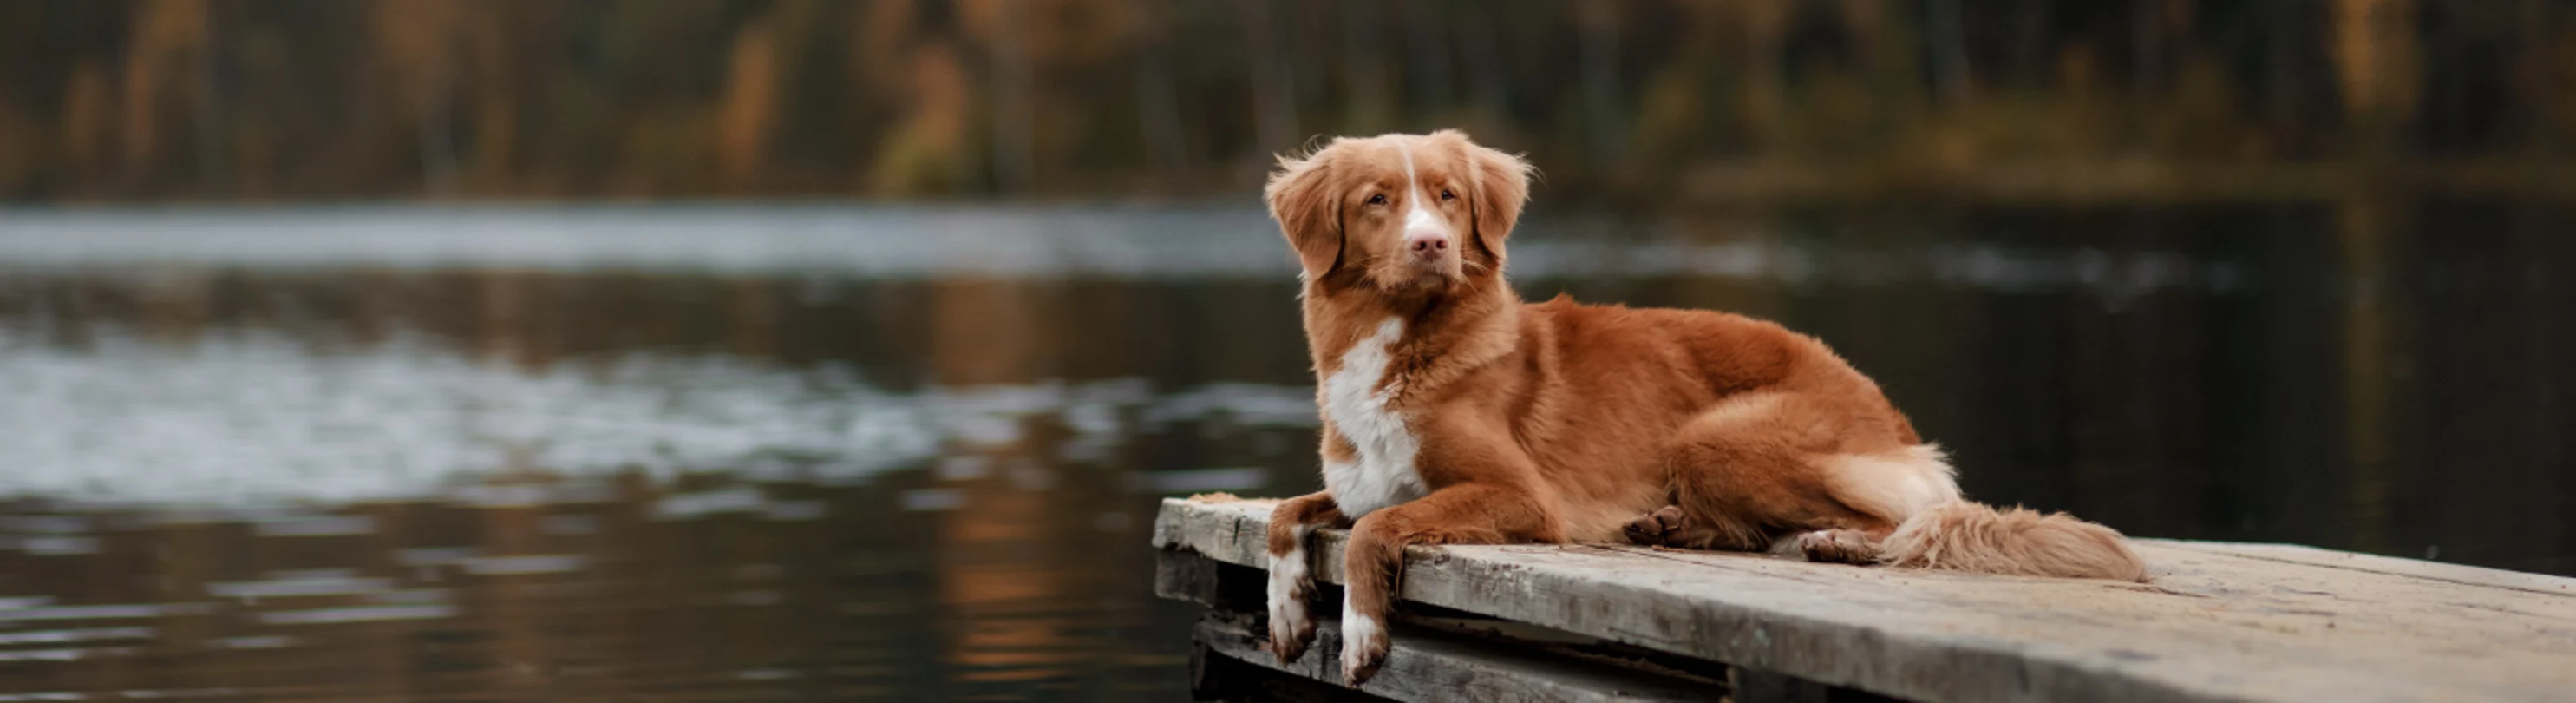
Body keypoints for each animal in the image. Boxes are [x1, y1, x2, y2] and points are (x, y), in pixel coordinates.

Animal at [1257, 131, 2143, 685]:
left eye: (1446, 196)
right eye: (1378, 200)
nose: (1432, 245)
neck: (1404, 342)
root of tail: (1885, 408)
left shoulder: (1520, 497)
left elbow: (1373, 528)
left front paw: (1361, 634)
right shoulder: (1362, 481)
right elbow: (1285, 514)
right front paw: (1289, 614)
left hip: (1713, 434)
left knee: (1900, 525)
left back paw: (1835, 542)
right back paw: (1668, 524)